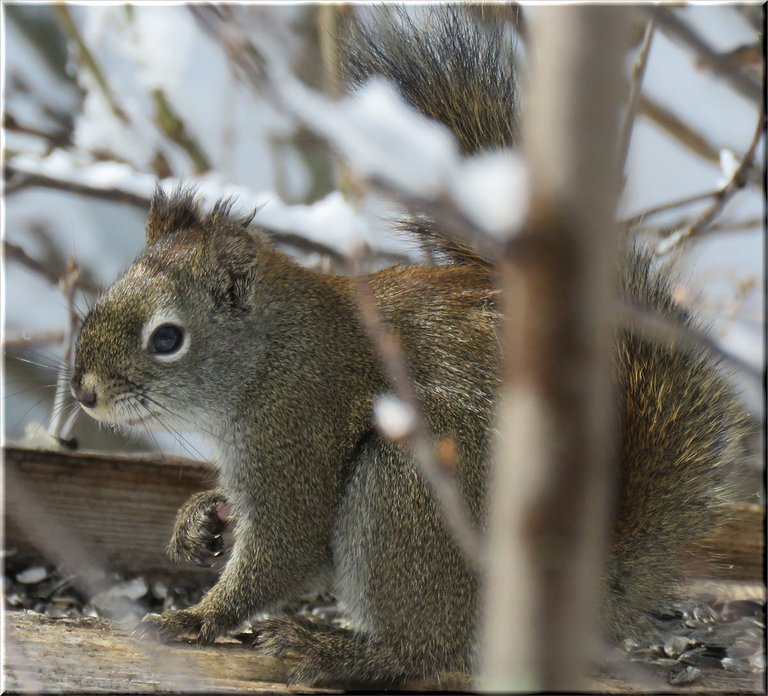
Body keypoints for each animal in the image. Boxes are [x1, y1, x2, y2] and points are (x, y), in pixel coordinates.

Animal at [72, 6, 752, 692]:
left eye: (166, 339)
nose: (84, 392)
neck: (271, 356)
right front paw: (201, 519)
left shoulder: (299, 432)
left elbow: (286, 550)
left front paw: (196, 617)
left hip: (403, 498)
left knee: (424, 651)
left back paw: (335, 653)